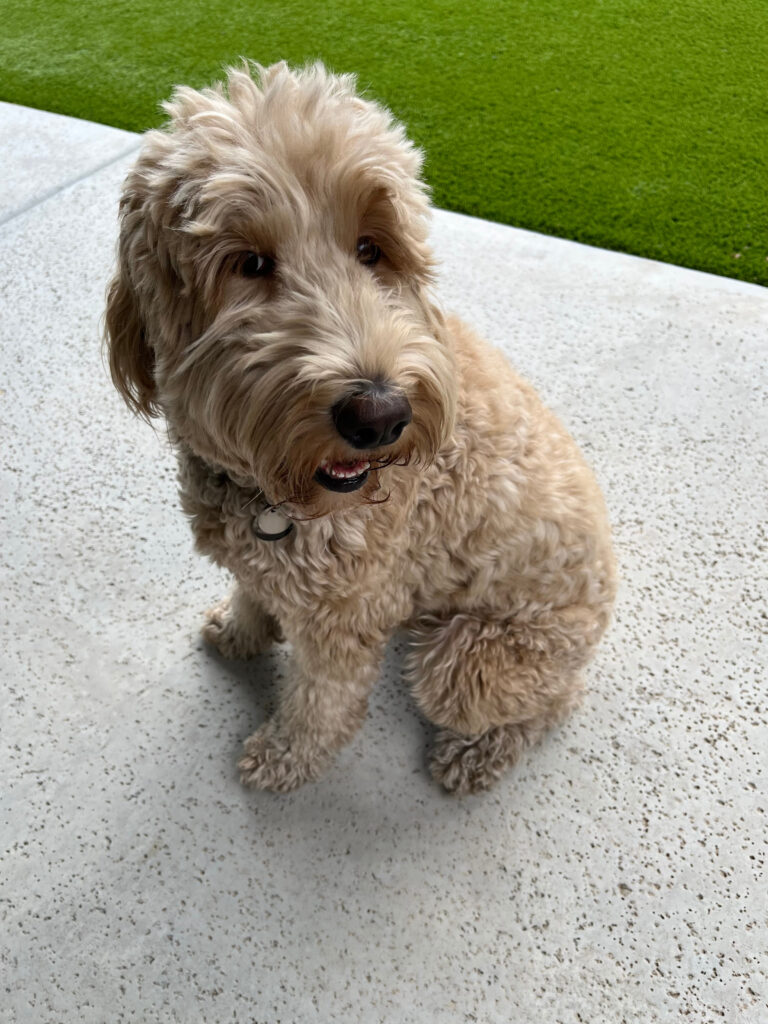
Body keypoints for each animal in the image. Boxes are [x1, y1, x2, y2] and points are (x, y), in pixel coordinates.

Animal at [105, 61, 618, 790]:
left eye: (371, 248)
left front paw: (282, 759)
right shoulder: (264, 564)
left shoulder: (341, 617)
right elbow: (252, 591)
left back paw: (474, 755)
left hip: (470, 661)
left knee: (546, 703)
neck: (275, 494)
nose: (382, 415)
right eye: (249, 263)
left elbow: (323, 703)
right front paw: (239, 635)